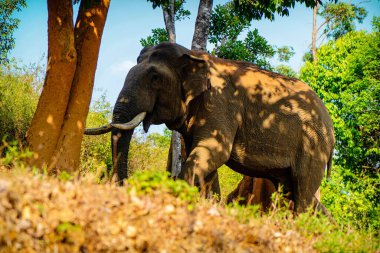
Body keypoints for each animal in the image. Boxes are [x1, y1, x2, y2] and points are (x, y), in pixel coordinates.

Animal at [84, 42, 334, 212]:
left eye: (155, 78)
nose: (122, 186)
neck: (195, 57)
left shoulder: (220, 103)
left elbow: (214, 151)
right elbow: (205, 159)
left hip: (313, 146)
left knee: (302, 189)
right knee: (289, 189)